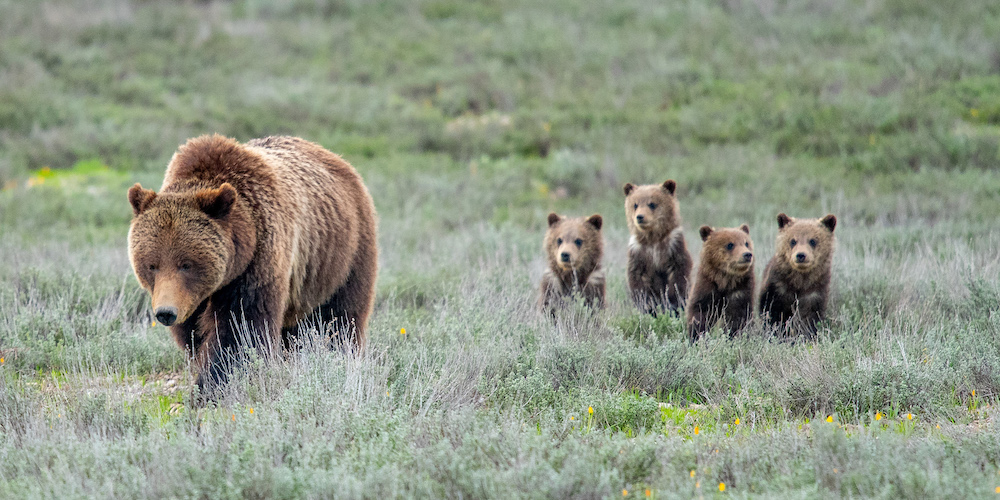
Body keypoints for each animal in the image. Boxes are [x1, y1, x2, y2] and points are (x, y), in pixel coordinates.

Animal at [125, 134, 376, 398]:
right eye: (152, 265)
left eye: (186, 264)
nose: (166, 312)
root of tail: (338, 160)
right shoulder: (191, 298)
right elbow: (194, 333)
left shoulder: (257, 263)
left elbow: (240, 329)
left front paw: (211, 387)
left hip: (341, 256)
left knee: (338, 318)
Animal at [620, 180, 692, 314]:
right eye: (635, 204)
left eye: (652, 204)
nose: (640, 217)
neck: (653, 240)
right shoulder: (638, 252)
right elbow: (636, 278)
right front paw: (647, 305)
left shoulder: (673, 246)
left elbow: (679, 274)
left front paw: (673, 303)